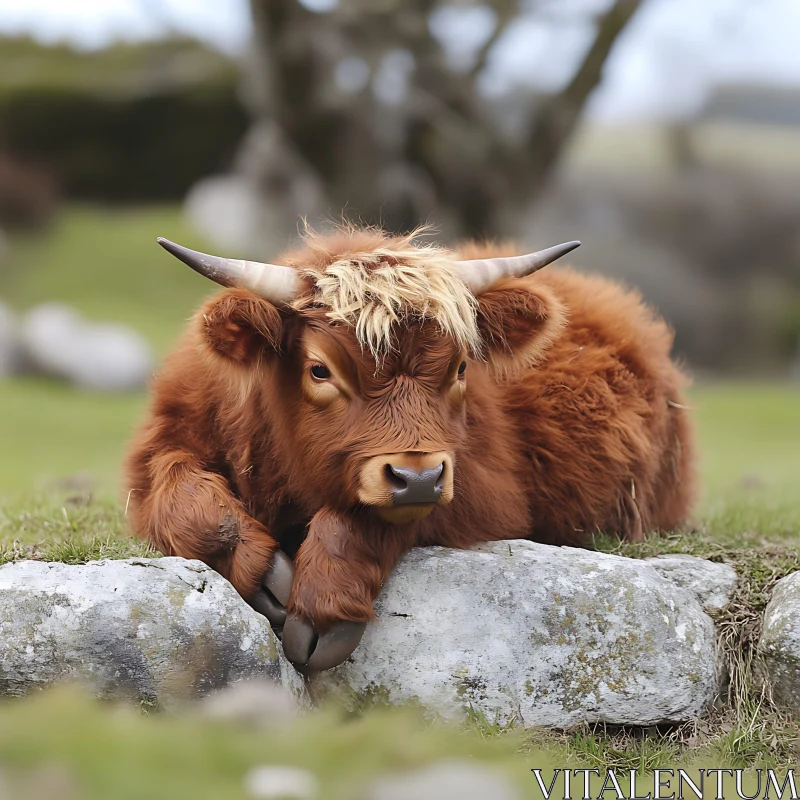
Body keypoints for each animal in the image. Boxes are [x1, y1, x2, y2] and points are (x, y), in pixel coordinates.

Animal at [125, 228, 692, 672]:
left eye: (461, 367)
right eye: (319, 370)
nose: (417, 477)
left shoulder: (485, 491)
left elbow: (364, 521)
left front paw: (325, 599)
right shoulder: (163, 448)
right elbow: (187, 500)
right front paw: (262, 569)